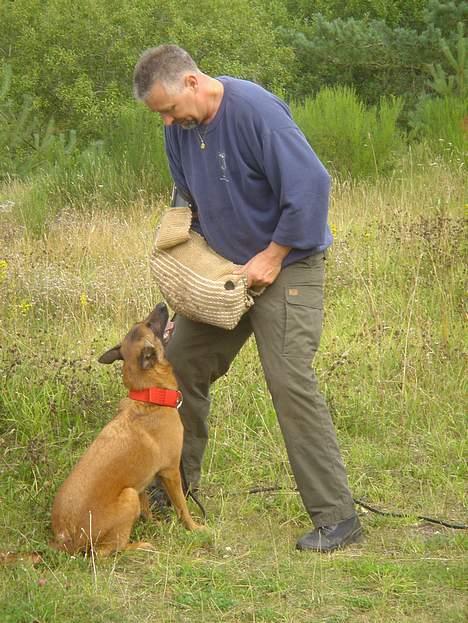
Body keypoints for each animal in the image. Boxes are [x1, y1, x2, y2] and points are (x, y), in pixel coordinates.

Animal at [49, 302, 203, 556]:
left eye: (142, 322)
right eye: (150, 324)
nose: (162, 304)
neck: (149, 397)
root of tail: (64, 539)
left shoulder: (143, 481)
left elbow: (147, 509)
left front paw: (154, 523)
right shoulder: (171, 472)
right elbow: (182, 506)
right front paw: (194, 528)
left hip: (132, 492)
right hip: (128, 497)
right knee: (107, 552)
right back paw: (139, 545)